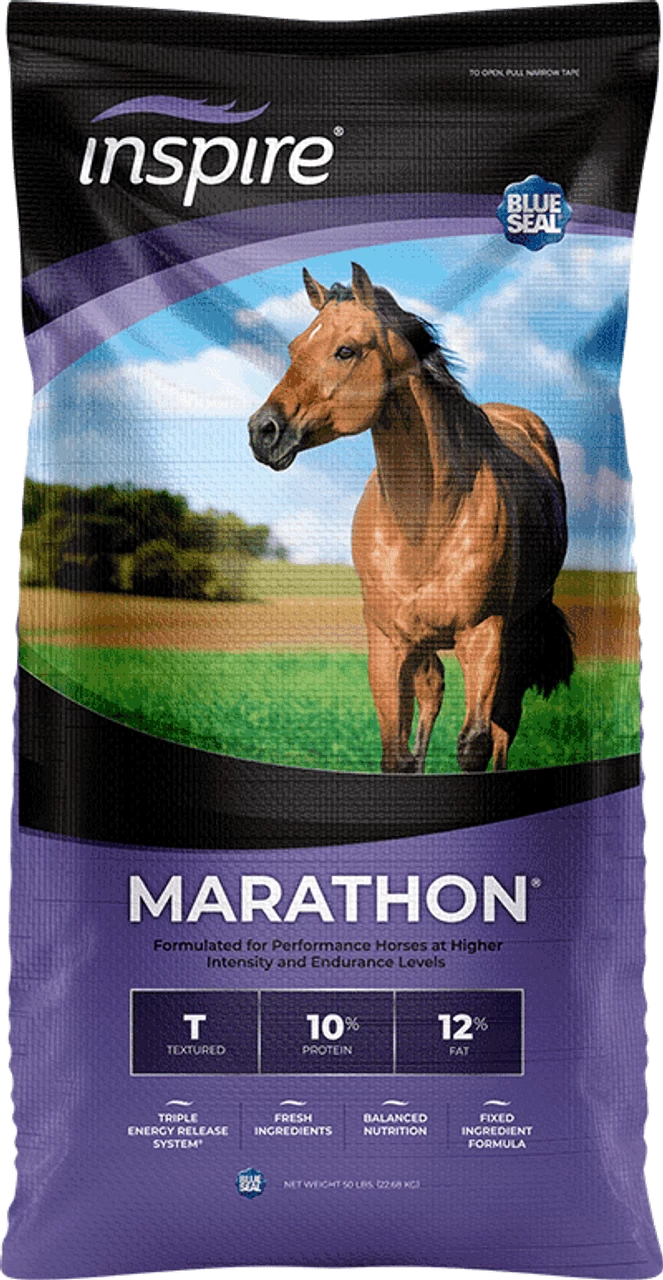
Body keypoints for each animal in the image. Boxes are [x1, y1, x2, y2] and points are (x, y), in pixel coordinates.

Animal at [248, 262, 573, 774]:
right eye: (295, 348)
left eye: (346, 350)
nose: (263, 431)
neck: (426, 522)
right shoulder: (388, 640)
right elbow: (395, 752)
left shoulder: (483, 634)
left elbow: (474, 744)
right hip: (423, 643)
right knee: (433, 696)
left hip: (519, 630)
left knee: (504, 721)